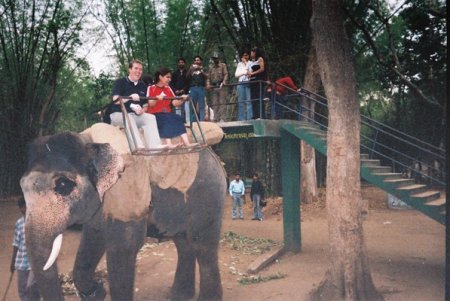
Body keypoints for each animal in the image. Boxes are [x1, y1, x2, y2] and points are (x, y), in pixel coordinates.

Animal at [19, 122, 227, 300]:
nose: (99, 287)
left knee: (203, 246)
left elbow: (123, 247)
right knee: (183, 243)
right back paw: (178, 295)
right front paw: (97, 292)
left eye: (63, 185)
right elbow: (93, 239)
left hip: (209, 194)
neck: (88, 141)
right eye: (22, 187)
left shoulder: (125, 188)